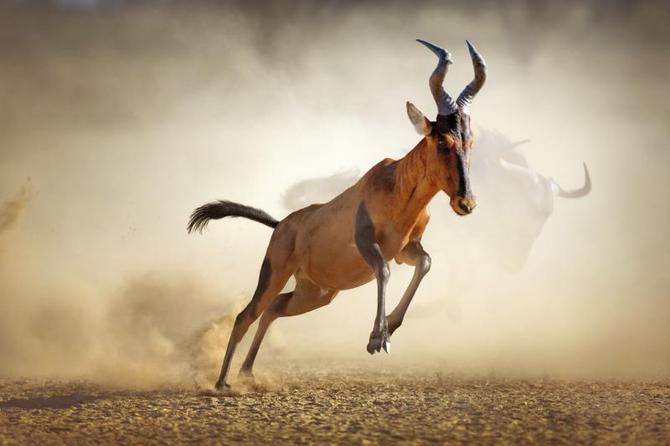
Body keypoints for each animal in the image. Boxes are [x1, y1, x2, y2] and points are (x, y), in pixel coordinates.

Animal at [189, 39, 488, 390]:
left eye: (470, 140)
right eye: (442, 140)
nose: (466, 203)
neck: (396, 184)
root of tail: (281, 224)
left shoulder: (406, 251)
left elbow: (425, 263)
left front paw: (389, 326)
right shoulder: (367, 243)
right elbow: (383, 271)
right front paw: (378, 339)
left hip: (316, 294)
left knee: (274, 309)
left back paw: (247, 372)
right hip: (276, 272)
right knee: (246, 315)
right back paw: (222, 383)